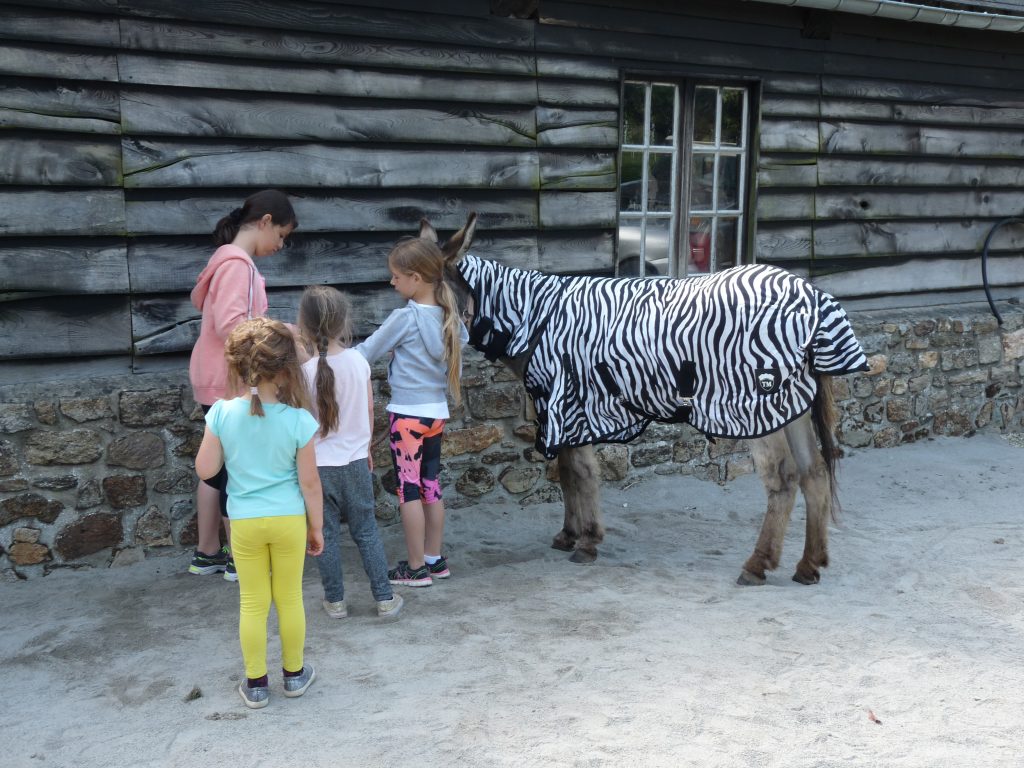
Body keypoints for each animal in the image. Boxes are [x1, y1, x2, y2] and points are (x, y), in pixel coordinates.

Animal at [418, 213, 868, 586]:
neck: (536, 317)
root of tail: (812, 297)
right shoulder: (564, 408)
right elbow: (566, 471)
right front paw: (568, 535)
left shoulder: (575, 401)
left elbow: (581, 472)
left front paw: (587, 541)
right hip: (789, 405)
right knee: (814, 472)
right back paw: (809, 565)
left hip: (756, 405)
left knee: (783, 478)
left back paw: (757, 565)